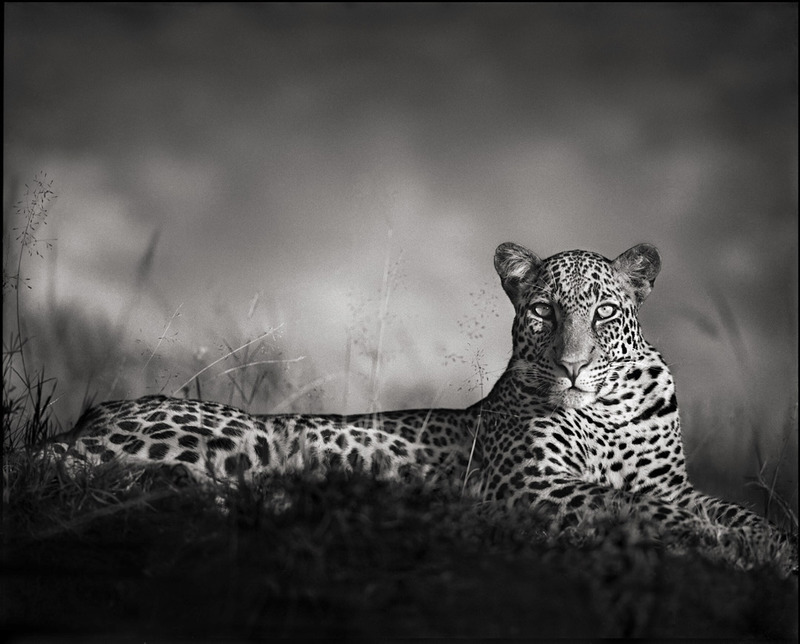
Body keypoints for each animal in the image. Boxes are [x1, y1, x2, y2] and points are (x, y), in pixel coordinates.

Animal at [44, 241, 795, 568]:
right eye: (544, 311)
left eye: (606, 312)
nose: (573, 367)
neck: (606, 411)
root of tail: (92, 413)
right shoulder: (533, 484)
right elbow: (631, 505)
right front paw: (724, 544)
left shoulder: (673, 482)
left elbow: (720, 506)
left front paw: (768, 540)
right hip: (238, 440)